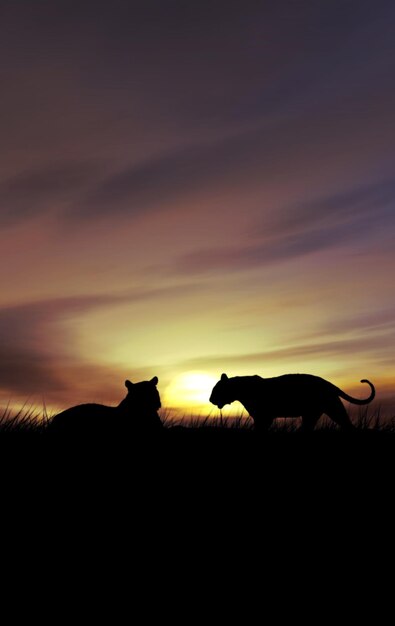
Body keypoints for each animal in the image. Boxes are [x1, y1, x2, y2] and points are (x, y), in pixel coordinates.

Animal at [209, 370, 376, 428]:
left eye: (216, 390)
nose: (210, 399)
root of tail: (328, 383)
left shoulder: (264, 417)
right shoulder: (261, 418)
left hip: (328, 410)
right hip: (319, 413)